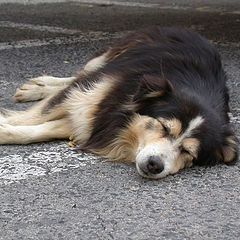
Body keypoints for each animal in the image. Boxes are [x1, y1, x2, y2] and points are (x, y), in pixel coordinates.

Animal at [0, 27, 237, 179]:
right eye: (163, 127)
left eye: (188, 152)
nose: (155, 165)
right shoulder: (92, 92)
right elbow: (35, 116)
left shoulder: (97, 121)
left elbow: (41, 130)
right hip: (106, 60)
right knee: (80, 75)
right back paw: (38, 87)